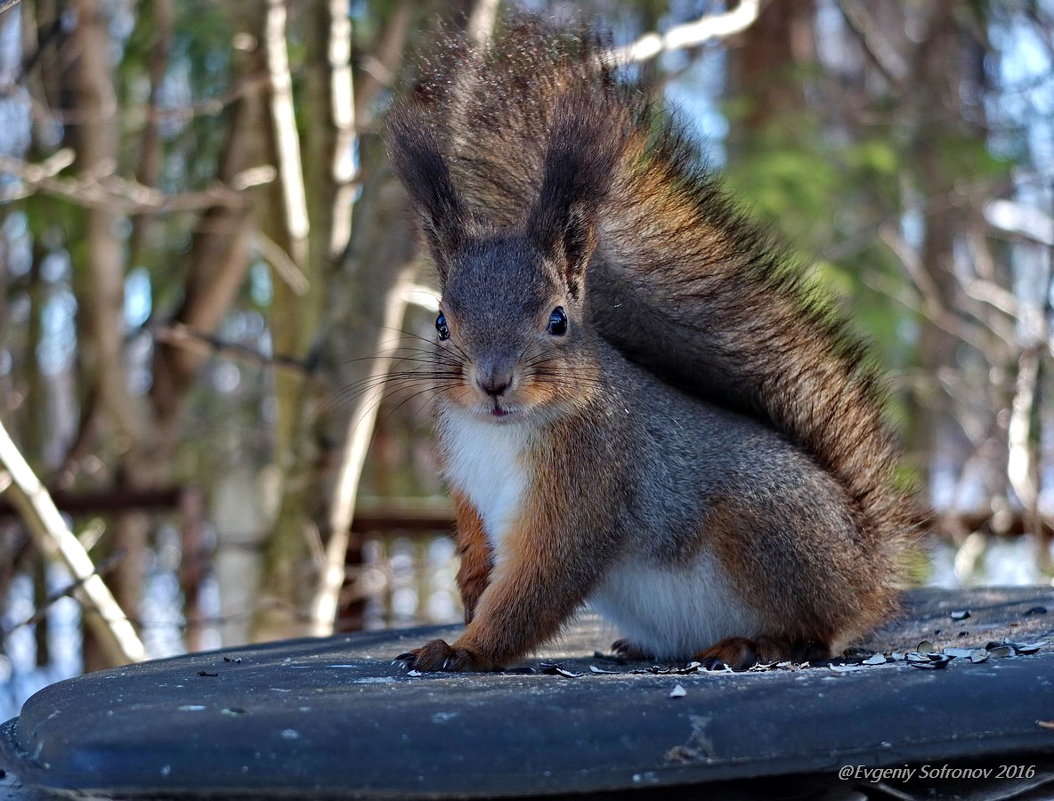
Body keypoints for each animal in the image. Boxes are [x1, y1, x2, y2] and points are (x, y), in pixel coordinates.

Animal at [383, 17, 919, 670]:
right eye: (441, 322)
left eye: (558, 320)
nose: (492, 382)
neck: (500, 432)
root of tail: (867, 570)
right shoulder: (466, 482)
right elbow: (477, 549)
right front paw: (468, 591)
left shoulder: (590, 485)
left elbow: (537, 586)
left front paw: (466, 649)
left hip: (768, 532)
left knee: (813, 632)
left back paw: (753, 642)